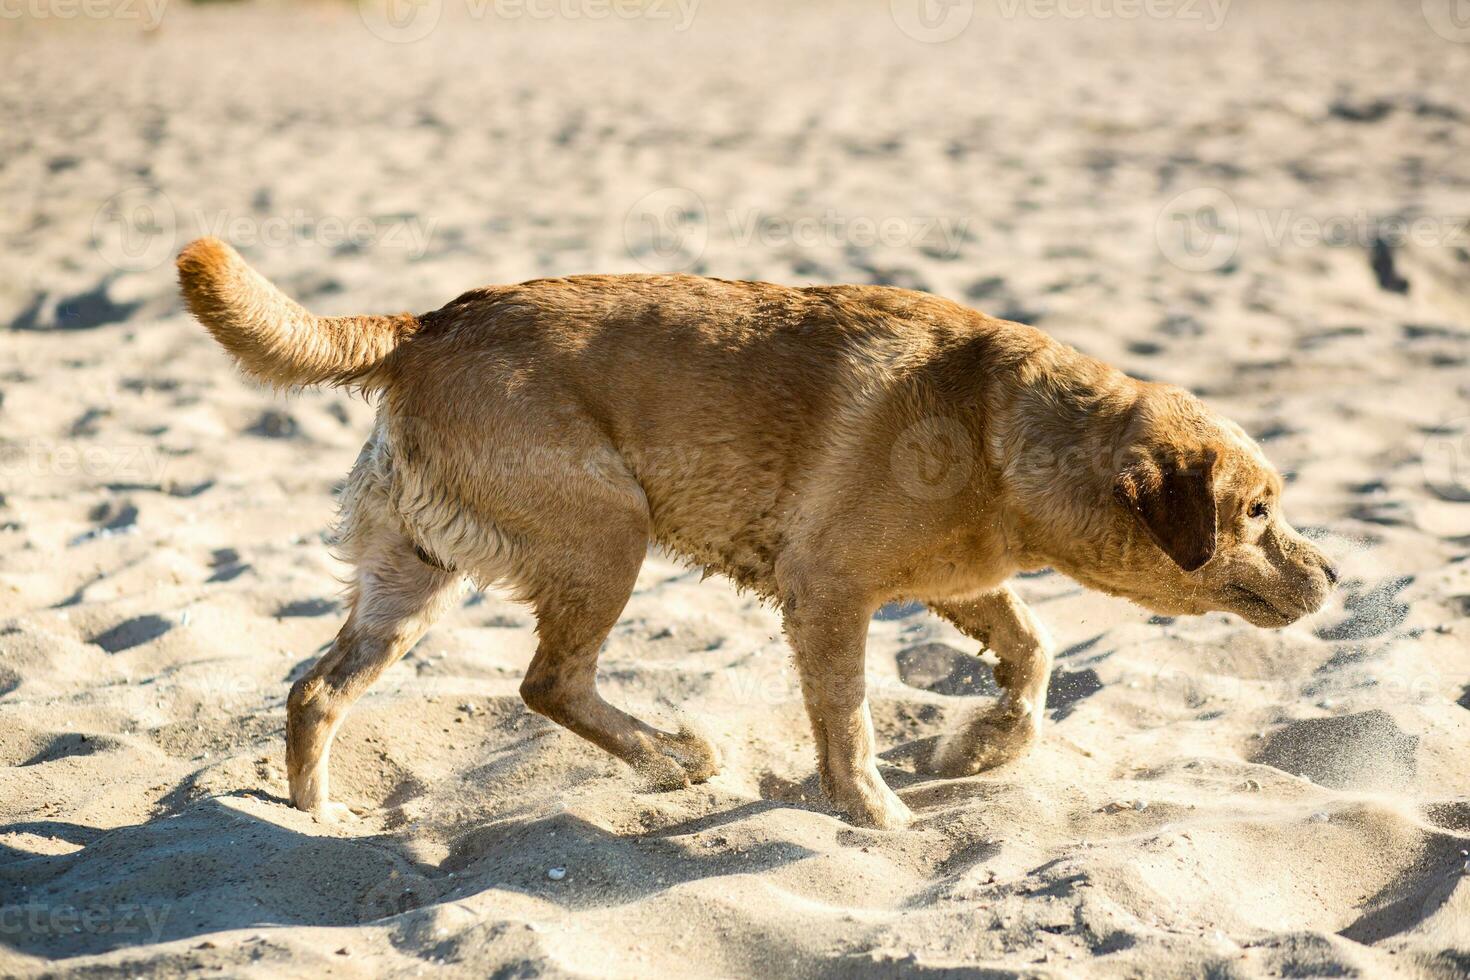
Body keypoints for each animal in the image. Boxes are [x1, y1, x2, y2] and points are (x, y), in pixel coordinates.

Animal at [177, 238, 1340, 828]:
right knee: (547, 682)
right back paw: (669, 759)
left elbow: (1036, 650)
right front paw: (872, 810)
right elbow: (851, 719)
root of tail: (425, 324)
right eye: (1259, 509)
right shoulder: (827, 591)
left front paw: (986, 743)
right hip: (608, 532)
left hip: (411, 580)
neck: (1003, 432)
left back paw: (314, 816)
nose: (1333, 573)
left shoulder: (959, 584)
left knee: (316, 690)